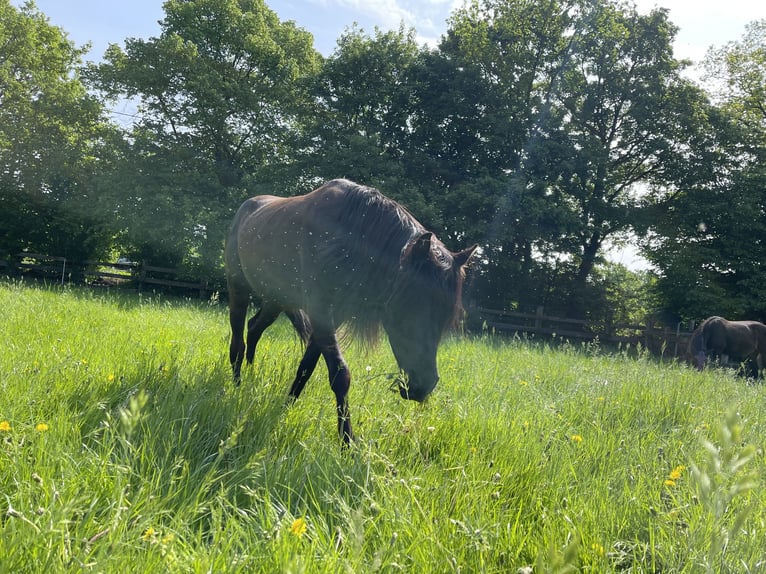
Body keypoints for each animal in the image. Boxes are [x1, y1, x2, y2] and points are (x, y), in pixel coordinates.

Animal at [225, 179, 477, 444]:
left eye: (445, 315)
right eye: (413, 303)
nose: (423, 386)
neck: (345, 235)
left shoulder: (332, 318)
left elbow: (306, 367)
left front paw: (285, 408)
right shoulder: (321, 313)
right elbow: (340, 376)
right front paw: (347, 441)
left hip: (276, 301)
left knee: (254, 328)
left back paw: (250, 377)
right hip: (239, 290)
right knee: (238, 341)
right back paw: (237, 387)